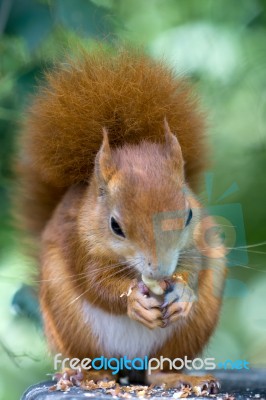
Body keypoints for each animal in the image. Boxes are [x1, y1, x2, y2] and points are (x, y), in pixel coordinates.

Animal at [16, 49, 227, 390]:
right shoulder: (79, 245)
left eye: (190, 215)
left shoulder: (197, 243)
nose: (161, 271)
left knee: (157, 369)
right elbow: (96, 284)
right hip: (70, 323)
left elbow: (195, 267)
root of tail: (130, 364)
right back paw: (86, 374)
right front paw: (131, 301)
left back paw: (178, 376)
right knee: (96, 361)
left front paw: (182, 291)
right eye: (115, 226)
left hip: (189, 330)